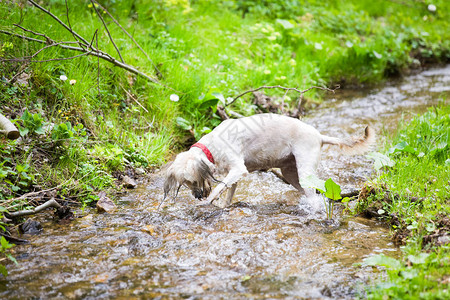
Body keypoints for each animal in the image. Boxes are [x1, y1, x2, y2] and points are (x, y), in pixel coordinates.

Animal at [163, 113, 374, 209]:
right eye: (185, 183)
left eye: (192, 180)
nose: (197, 196)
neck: (212, 146)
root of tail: (319, 136)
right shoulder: (234, 175)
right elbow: (227, 191)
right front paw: (222, 206)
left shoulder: (238, 169)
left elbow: (218, 188)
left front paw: (207, 202)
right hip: (291, 174)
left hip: (304, 171)